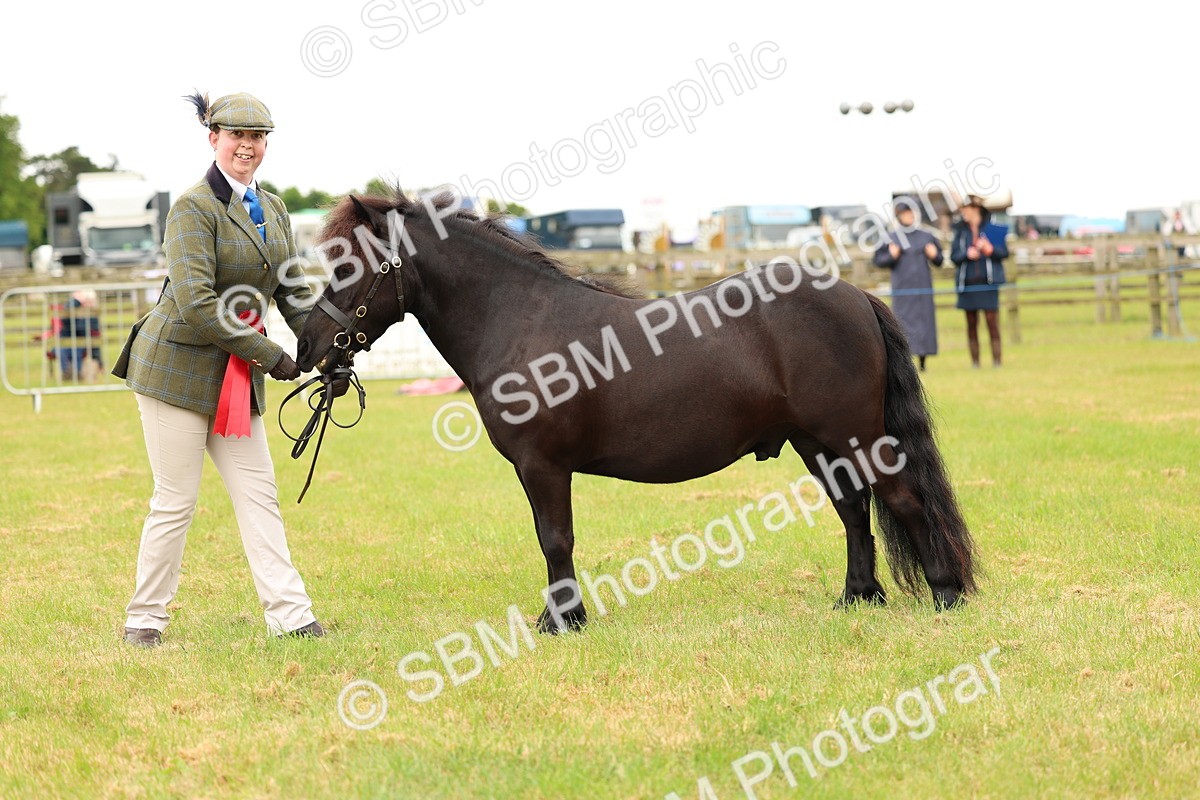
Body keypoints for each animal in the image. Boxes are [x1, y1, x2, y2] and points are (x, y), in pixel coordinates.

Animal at [294, 192, 977, 632]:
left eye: (349, 265)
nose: (306, 346)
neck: (519, 319)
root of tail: (857, 294)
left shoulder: (542, 466)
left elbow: (555, 538)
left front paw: (561, 621)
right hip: (817, 443)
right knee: (854, 511)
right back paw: (856, 599)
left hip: (855, 436)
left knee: (902, 499)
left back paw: (945, 597)